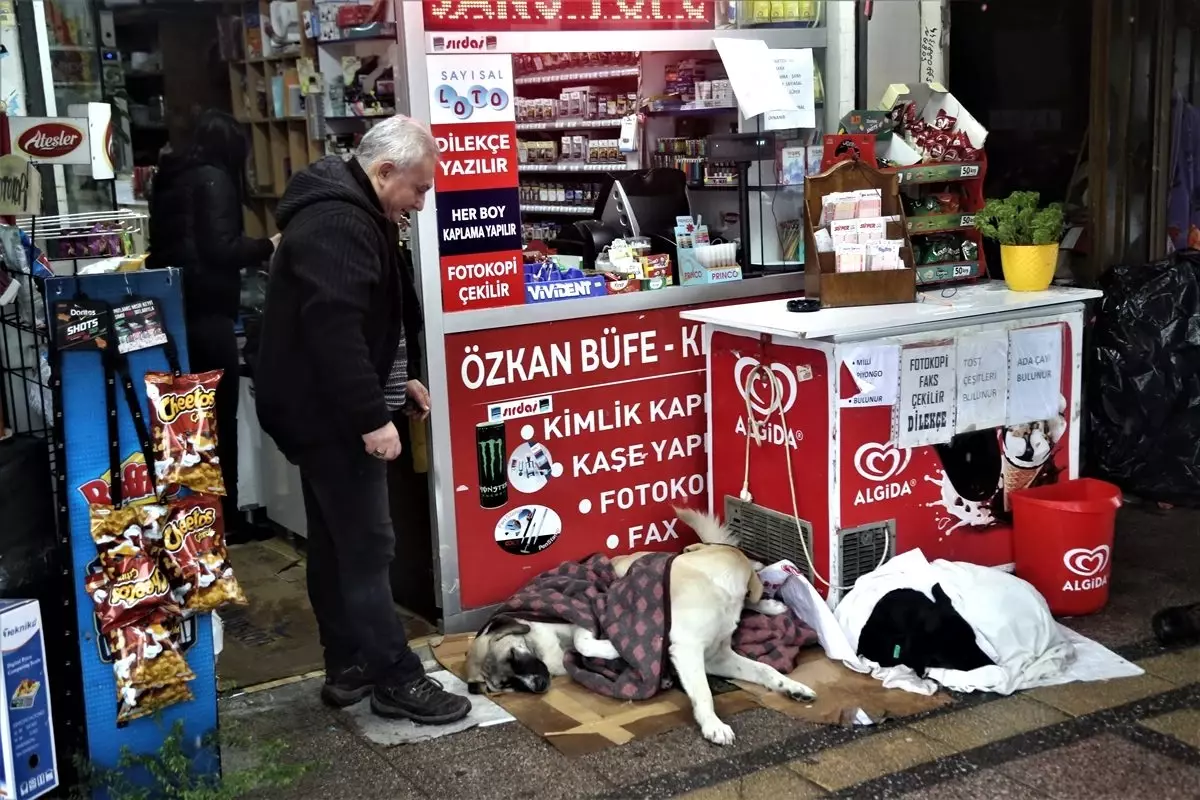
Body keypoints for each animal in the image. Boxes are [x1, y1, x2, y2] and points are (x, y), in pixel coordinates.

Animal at [463, 506, 820, 743]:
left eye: (513, 659)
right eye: (505, 685)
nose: (538, 686)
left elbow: (765, 670)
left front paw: (792, 686)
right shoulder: (698, 653)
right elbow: (705, 691)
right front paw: (713, 724)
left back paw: (770, 604)